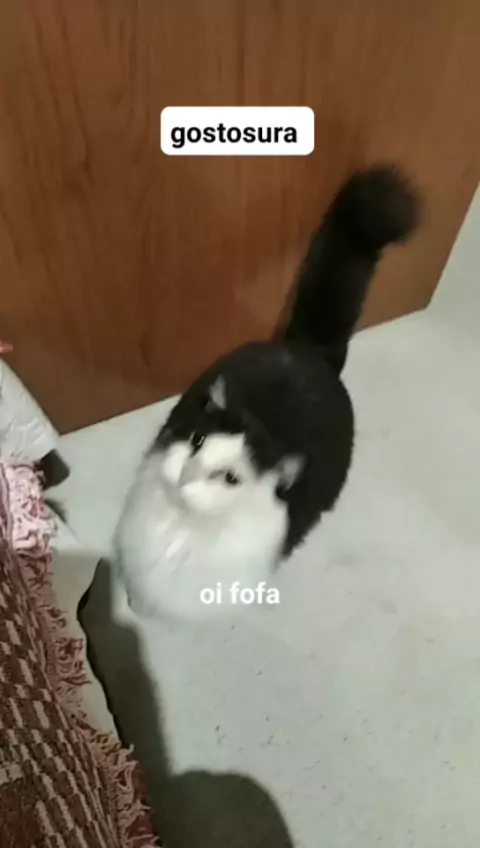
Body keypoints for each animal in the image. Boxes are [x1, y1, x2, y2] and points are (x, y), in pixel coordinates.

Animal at [114, 166, 420, 619]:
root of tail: (308, 350)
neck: (184, 530)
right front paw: (133, 604)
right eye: (198, 440)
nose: (188, 473)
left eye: (230, 478)